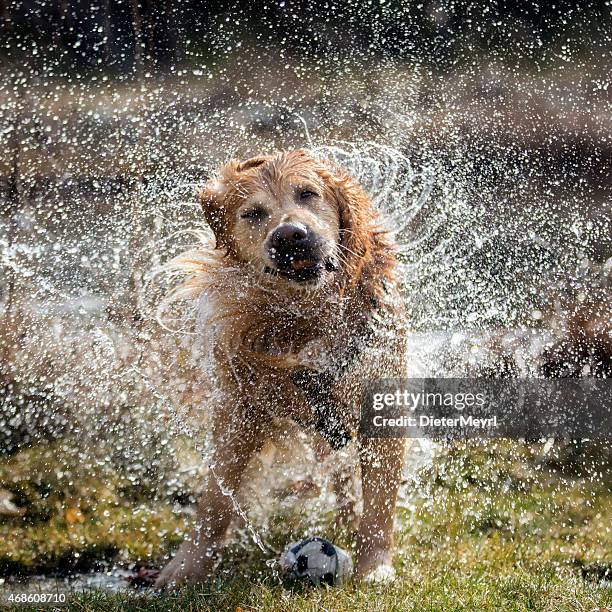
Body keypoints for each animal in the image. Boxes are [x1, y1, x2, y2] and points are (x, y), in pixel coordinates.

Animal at [155, 148, 408, 588]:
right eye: (253, 214)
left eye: (308, 193)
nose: (290, 234)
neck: (308, 317)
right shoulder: (241, 408)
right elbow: (215, 500)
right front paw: (187, 566)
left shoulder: (380, 393)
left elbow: (380, 501)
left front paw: (374, 566)